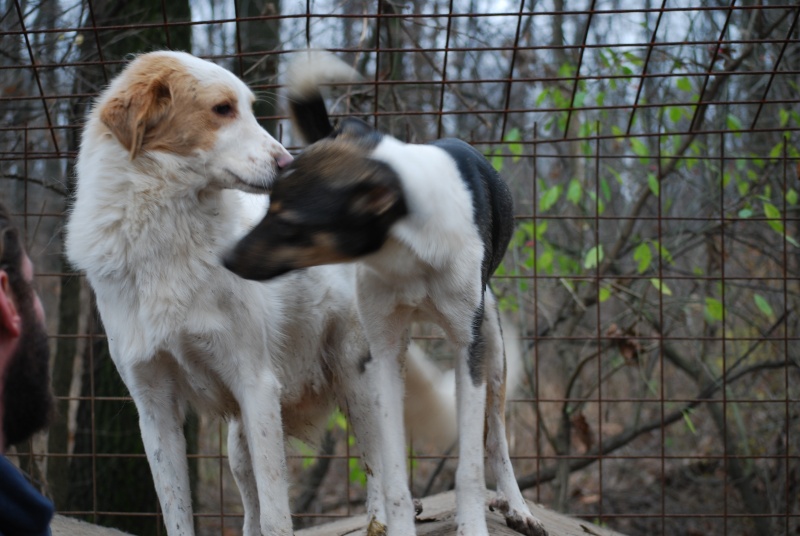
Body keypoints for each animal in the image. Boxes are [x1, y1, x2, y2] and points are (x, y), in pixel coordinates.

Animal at [66, 50, 460, 536]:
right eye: (222, 109)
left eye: (251, 108)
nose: (288, 163)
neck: (167, 230)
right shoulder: (154, 404)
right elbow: (180, 509)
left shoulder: (256, 385)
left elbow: (277, 513)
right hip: (239, 440)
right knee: (252, 502)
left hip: (358, 384)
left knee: (378, 463)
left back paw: (379, 520)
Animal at [227, 50, 552, 536]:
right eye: (269, 207)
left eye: (290, 223)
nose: (226, 259)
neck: (407, 251)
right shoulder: (382, 352)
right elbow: (393, 471)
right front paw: (397, 523)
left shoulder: (468, 352)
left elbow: (470, 468)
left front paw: (473, 522)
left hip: (493, 352)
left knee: (497, 438)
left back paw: (517, 506)